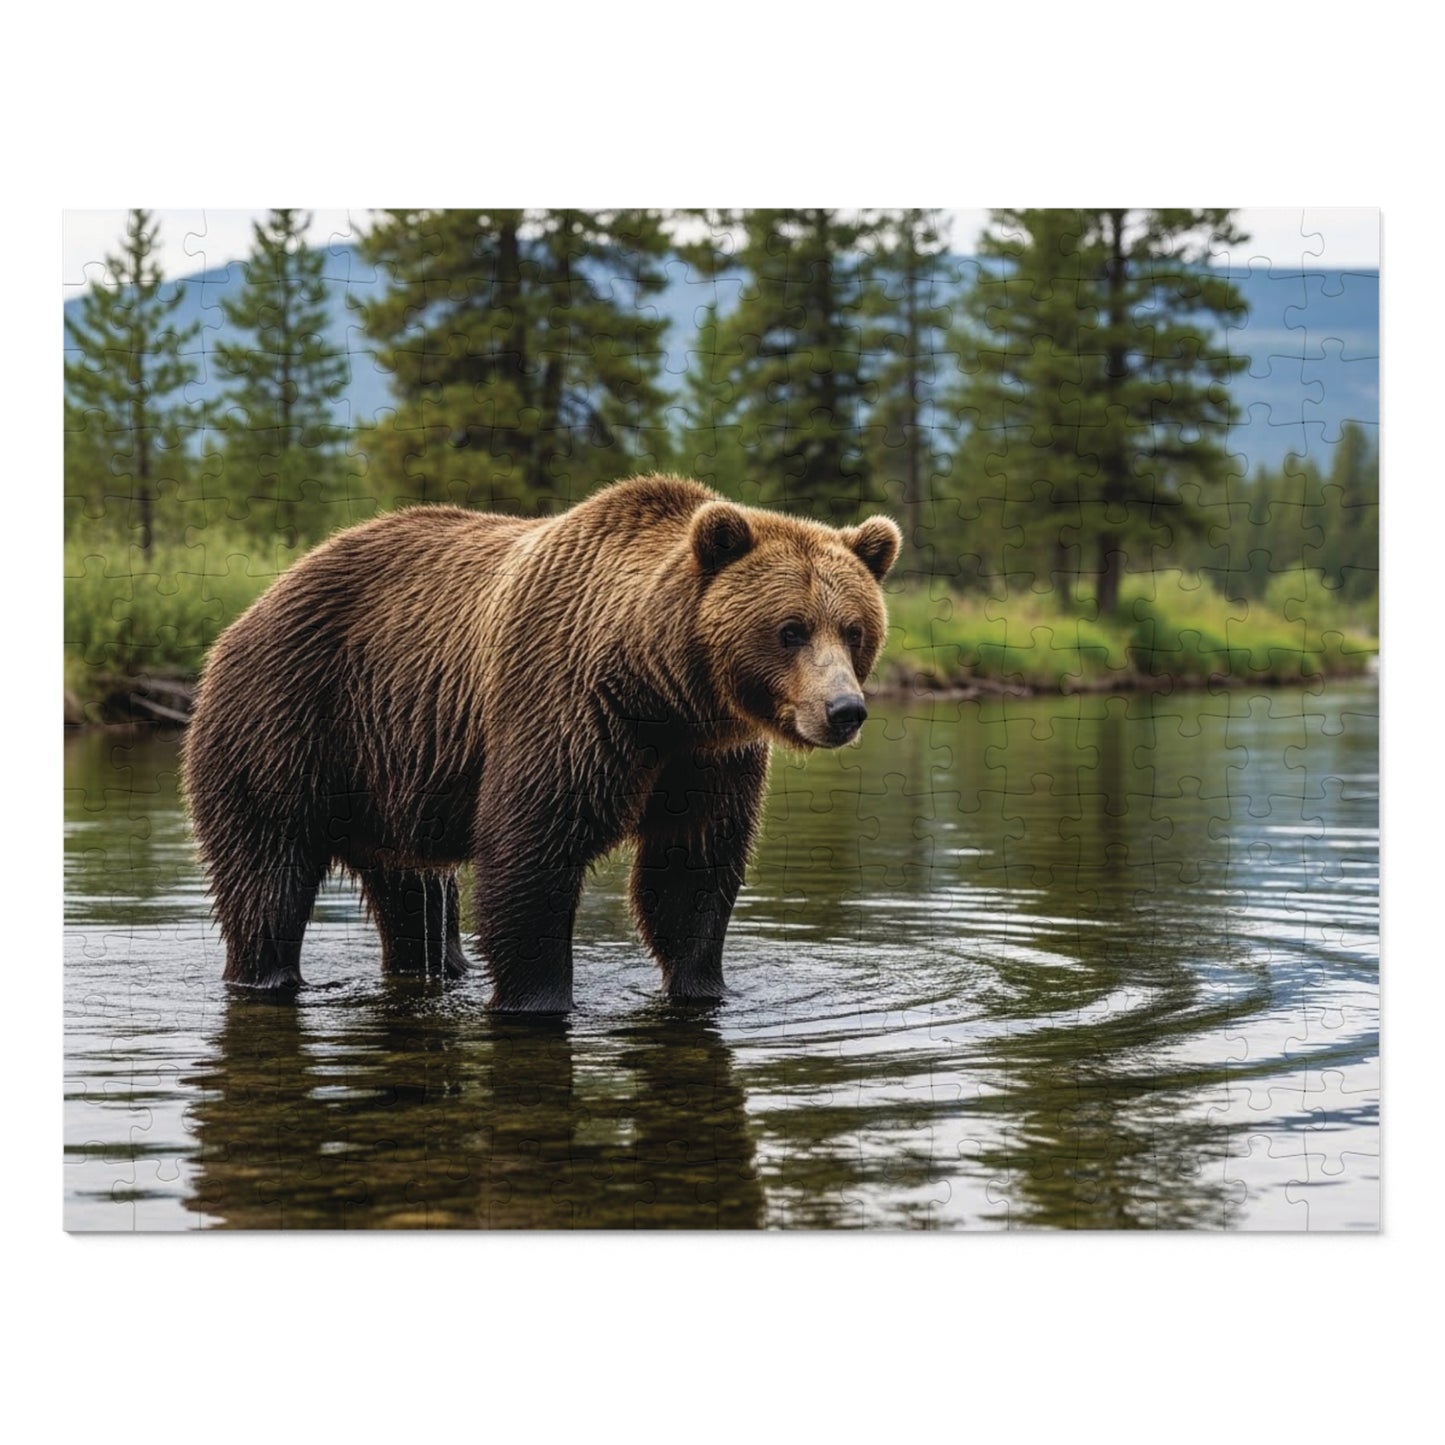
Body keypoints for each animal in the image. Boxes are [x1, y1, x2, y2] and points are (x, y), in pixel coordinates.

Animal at [181, 475, 901, 1012]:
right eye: (790, 629)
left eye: (854, 629)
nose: (843, 710)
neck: (661, 688)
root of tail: (251, 608)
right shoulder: (567, 707)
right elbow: (531, 856)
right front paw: (539, 996)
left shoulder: (706, 759)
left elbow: (690, 871)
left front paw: (702, 985)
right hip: (287, 721)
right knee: (266, 875)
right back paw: (264, 971)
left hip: (387, 769)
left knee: (412, 891)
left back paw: (433, 965)